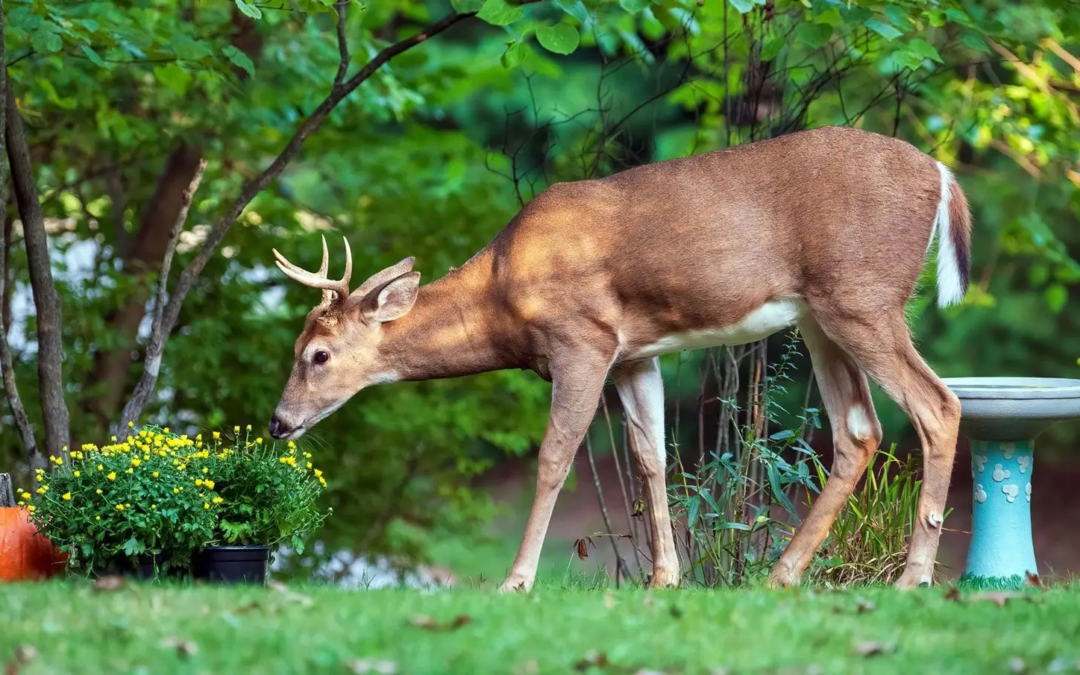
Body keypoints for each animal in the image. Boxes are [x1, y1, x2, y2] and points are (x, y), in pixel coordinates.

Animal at [268, 125, 971, 592]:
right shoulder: (634, 355)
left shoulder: (582, 340)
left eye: (318, 354)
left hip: (862, 297)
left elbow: (555, 456)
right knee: (859, 430)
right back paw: (781, 576)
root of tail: (941, 175)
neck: (502, 295)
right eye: (299, 350)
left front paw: (516, 581)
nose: (279, 422)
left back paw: (911, 580)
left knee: (937, 405)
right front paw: (664, 579)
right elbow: (650, 457)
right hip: (822, 316)